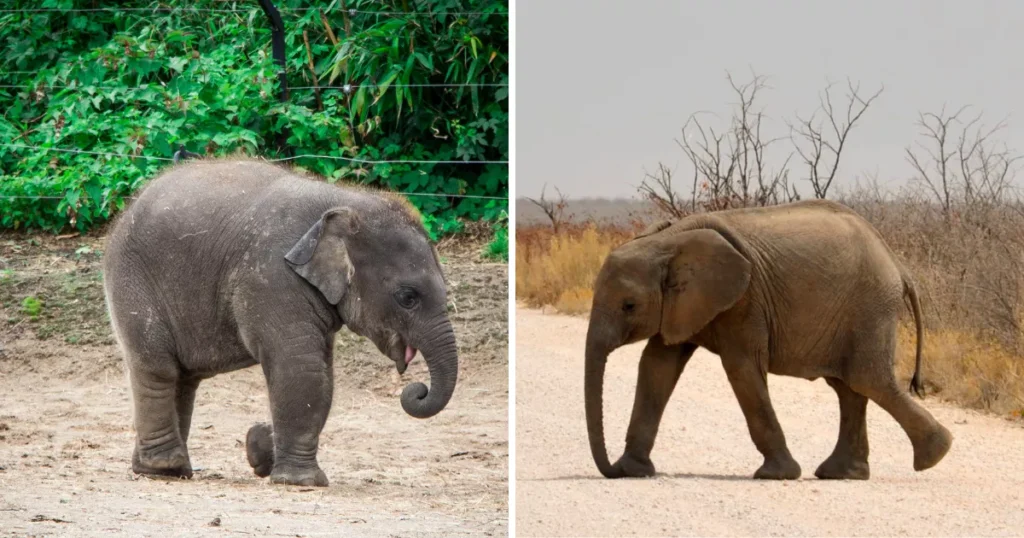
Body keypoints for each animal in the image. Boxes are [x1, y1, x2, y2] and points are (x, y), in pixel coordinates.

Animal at [102, 155, 456, 485]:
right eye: (407, 297)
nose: (416, 390)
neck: (345, 202)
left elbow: (322, 375)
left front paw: (259, 447)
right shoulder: (272, 276)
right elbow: (301, 366)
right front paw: (303, 482)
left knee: (184, 378)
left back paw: (164, 469)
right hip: (132, 281)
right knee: (157, 367)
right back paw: (165, 469)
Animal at [585, 198, 950, 479]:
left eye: (629, 306)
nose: (610, 470)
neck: (668, 241)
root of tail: (898, 265)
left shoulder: (745, 299)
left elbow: (741, 369)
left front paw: (776, 475)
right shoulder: (684, 305)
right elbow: (657, 367)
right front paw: (632, 470)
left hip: (870, 307)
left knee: (867, 379)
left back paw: (935, 454)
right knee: (849, 388)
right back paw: (843, 473)